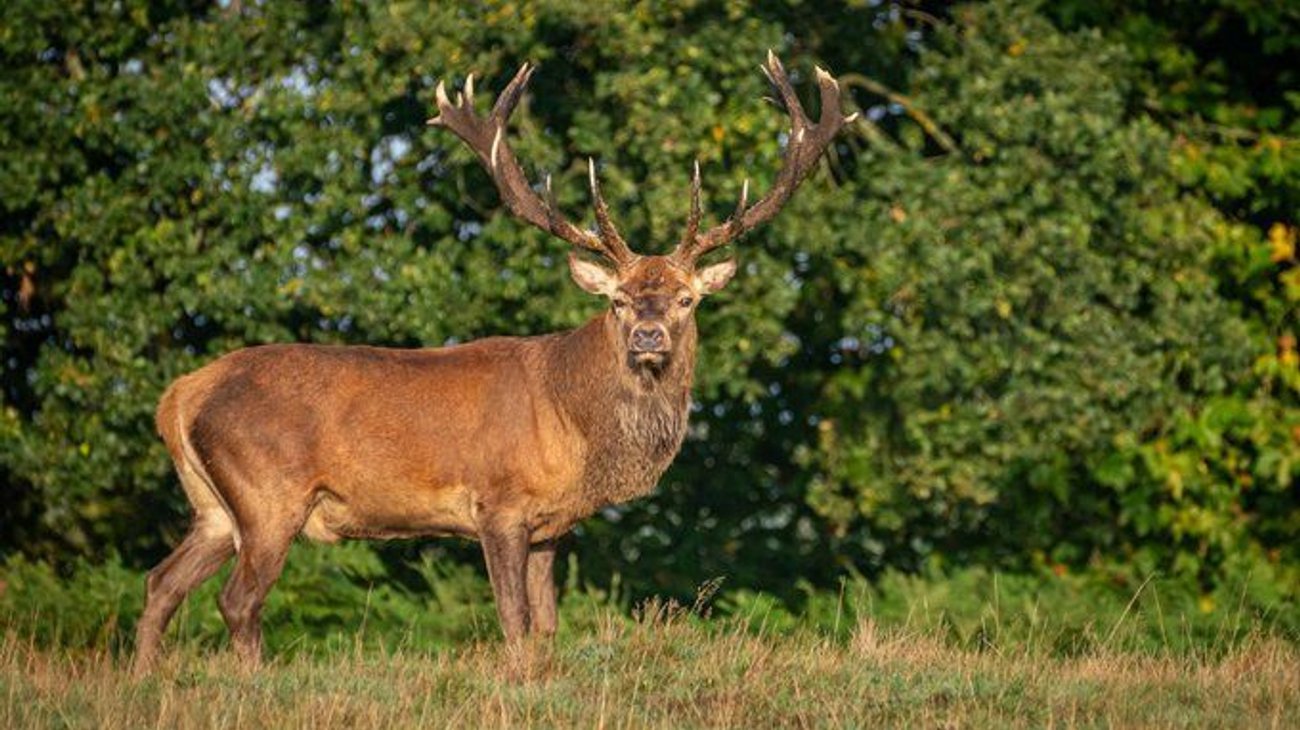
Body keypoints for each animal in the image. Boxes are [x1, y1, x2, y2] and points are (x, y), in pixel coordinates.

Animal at [133, 52, 851, 673]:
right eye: (618, 300)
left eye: (684, 298)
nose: (648, 336)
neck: (576, 428)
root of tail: (180, 395)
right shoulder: (496, 503)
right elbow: (514, 619)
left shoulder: (551, 526)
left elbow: (549, 625)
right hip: (267, 492)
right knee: (236, 600)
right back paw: (251, 681)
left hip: (214, 506)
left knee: (160, 582)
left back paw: (143, 681)